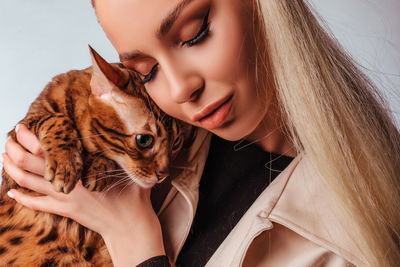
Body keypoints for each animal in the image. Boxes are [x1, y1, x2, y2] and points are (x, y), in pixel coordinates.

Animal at [0, 47, 184, 266]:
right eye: (144, 140)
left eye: (176, 142)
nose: (164, 174)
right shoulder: (19, 136)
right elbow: (56, 118)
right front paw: (66, 165)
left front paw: (98, 169)